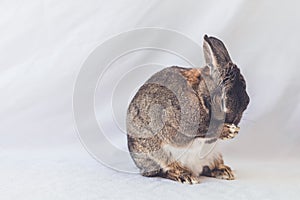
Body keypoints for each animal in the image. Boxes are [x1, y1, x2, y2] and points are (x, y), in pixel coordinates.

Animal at [125, 35, 250, 184]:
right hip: (155, 154)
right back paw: (185, 176)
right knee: (164, 170)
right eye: (218, 100)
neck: (200, 94)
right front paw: (229, 131)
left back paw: (224, 171)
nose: (233, 122)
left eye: (247, 101)